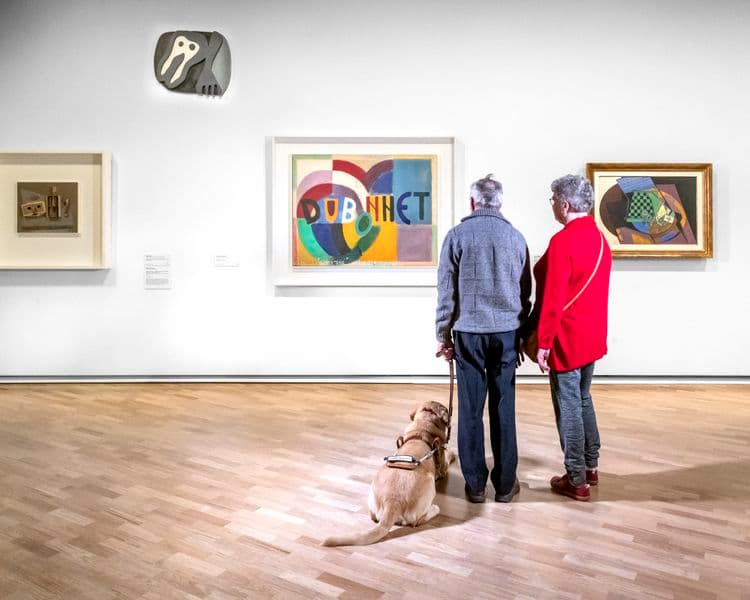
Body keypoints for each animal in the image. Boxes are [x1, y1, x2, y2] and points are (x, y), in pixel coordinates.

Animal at [320, 400, 456, 548]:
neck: (422, 429)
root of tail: (393, 502)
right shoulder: (443, 466)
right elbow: (448, 458)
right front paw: (453, 454)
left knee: (373, 516)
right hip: (430, 486)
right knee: (418, 521)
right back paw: (434, 509)